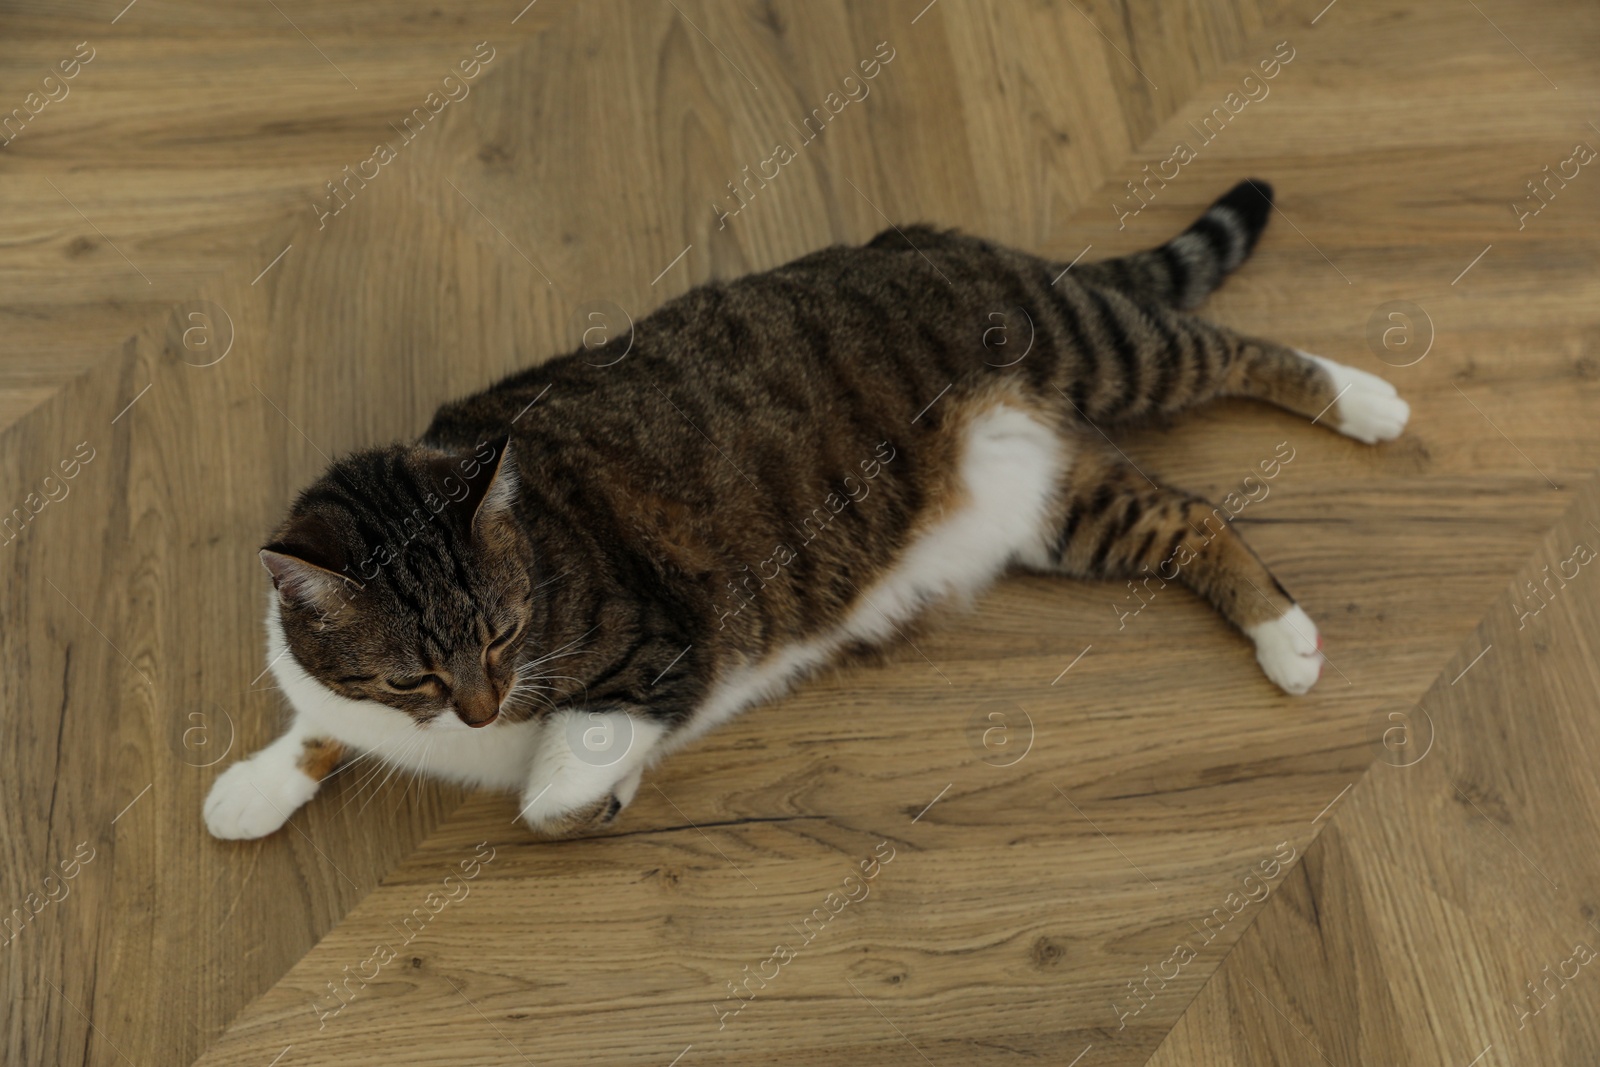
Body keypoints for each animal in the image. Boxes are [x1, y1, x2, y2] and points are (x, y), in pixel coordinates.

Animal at [206, 181, 1408, 844]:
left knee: (1234, 350)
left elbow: (553, 790)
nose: (479, 709)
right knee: (1193, 517)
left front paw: (603, 787)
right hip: (1065, 505)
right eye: (410, 676)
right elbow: (315, 723)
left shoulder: (662, 645)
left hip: (1100, 347)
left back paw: (1365, 402)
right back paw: (1283, 630)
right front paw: (255, 786)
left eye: (503, 634)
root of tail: (930, 239)